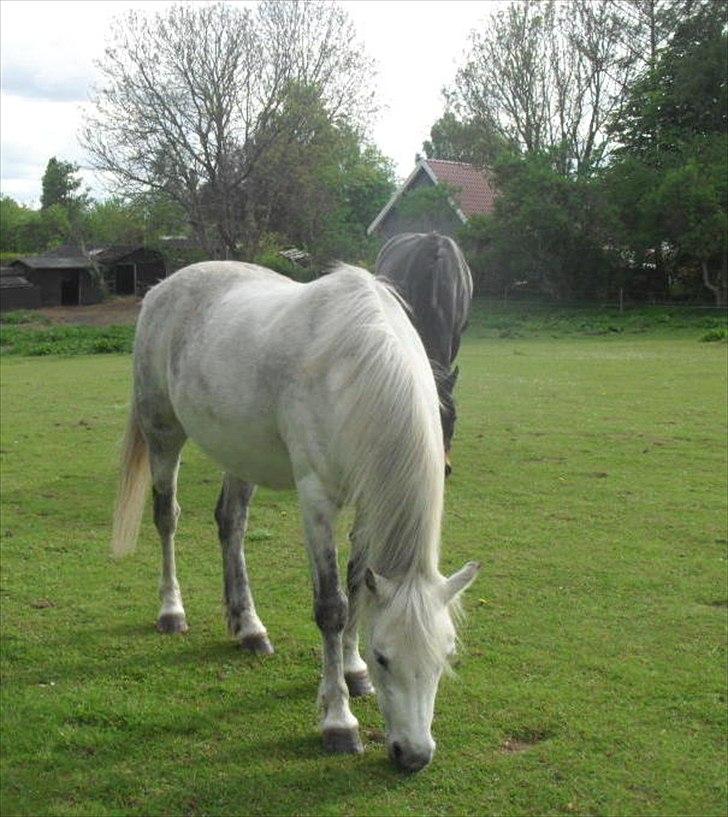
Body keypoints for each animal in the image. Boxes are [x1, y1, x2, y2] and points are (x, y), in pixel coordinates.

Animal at [112, 261, 479, 773]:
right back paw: (171, 611)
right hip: (162, 434)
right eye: (385, 656)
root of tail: (161, 289)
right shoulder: (316, 500)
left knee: (231, 525)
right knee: (167, 518)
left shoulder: (367, 503)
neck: (357, 367)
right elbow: (331, 606)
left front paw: (353, 672)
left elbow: (357, 588)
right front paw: (339, 721)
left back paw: (248, 627)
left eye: (445, 655)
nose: (414, 755)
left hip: (240, 452)